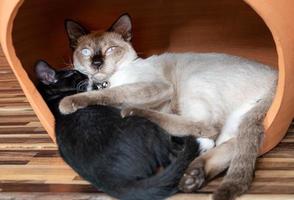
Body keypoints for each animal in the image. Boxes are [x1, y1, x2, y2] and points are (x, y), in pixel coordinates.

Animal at [35, 60, 199, 199]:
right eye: (74, 73)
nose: (88, 74)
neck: (54, 99)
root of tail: (115, 181)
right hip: (142, 123)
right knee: (169, 156)